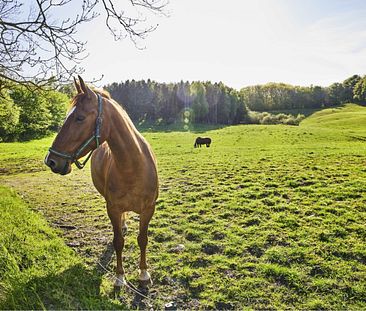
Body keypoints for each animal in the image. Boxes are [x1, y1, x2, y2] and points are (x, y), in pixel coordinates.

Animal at [44, 77, 157, 288]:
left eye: (79, 118)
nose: (51, 161)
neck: (133, 168)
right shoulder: (112, 208)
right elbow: (118, 241)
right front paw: (120, 277)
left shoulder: (148, 209)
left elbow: (143, 239)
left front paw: (144, 274)